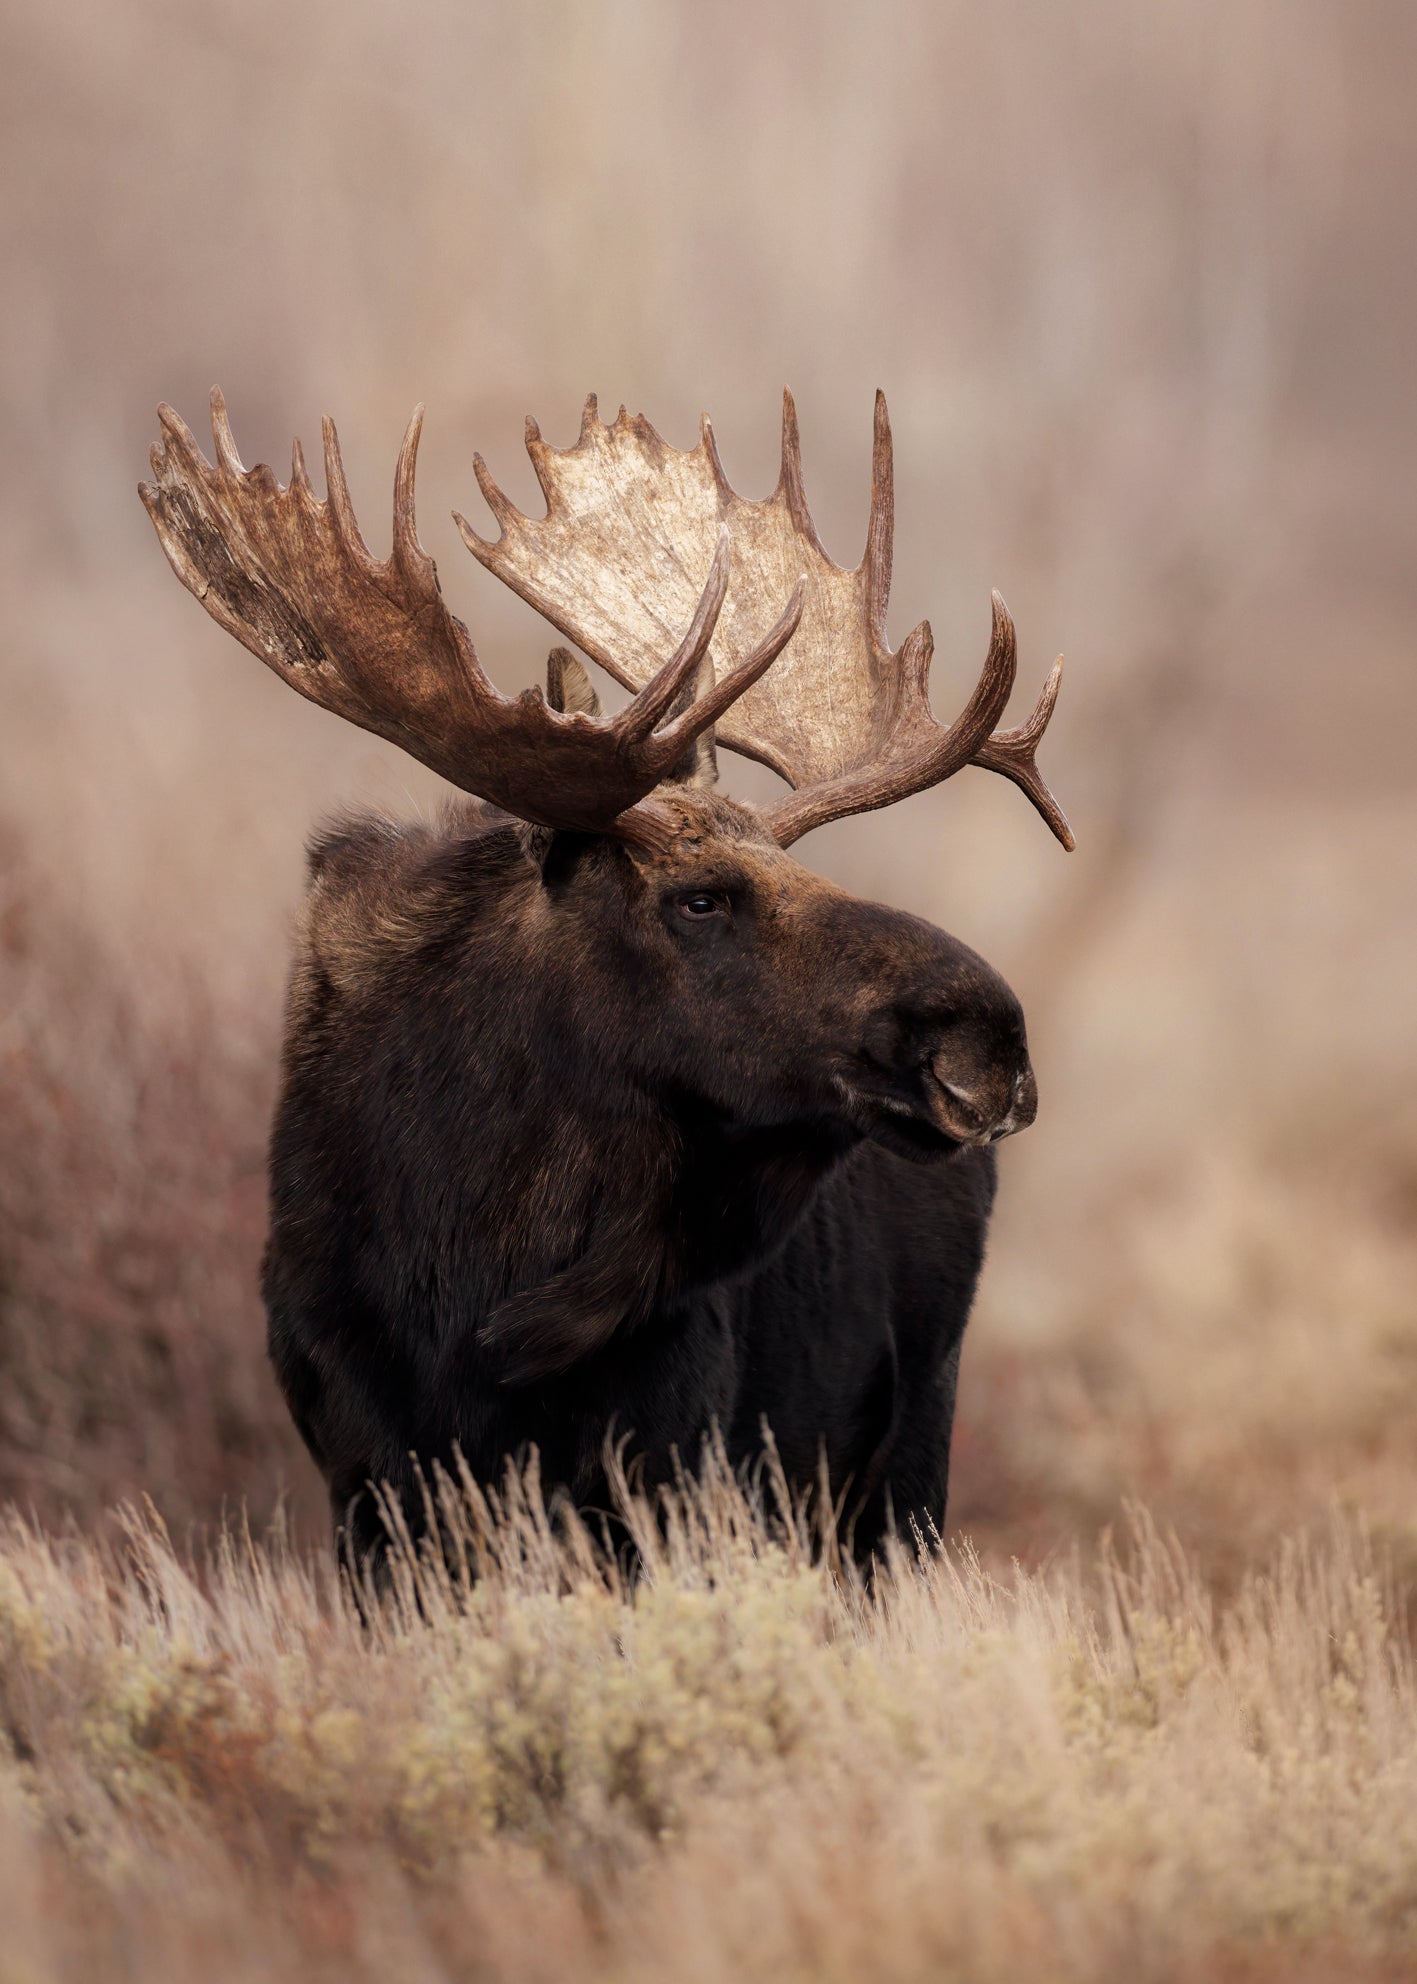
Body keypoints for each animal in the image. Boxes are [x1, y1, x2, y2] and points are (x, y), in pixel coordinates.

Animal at [139, 386, 1072, 1572]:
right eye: (699, 898)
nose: (988, 1040)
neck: (472, 1273)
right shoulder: (363, 1475)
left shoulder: (671, 1458)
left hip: (900, 1463)